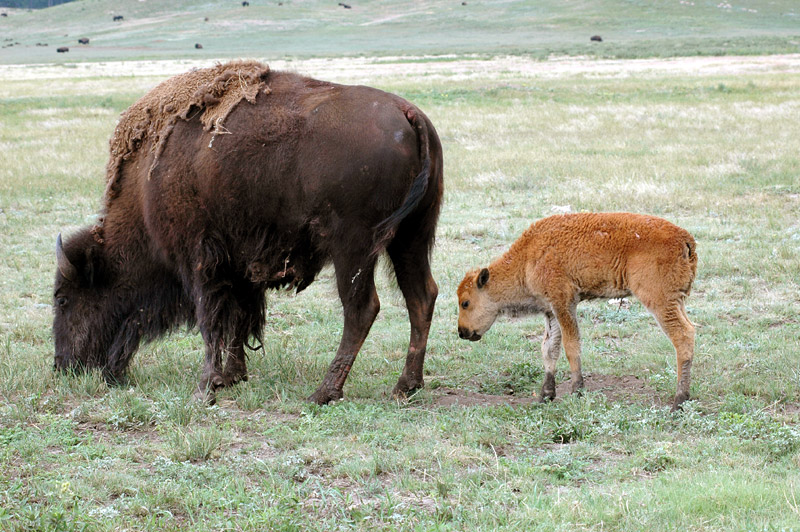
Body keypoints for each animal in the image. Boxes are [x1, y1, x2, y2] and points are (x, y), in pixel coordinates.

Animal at [54, 60, 444, 406]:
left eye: (63, 299)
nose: (63, 366)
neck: (146, 183)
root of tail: (409, 113)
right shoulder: (240, 264)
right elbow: (240, 318)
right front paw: (231, 376)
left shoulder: (199, 262)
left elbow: (212, 321)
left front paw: (205, 388)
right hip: (411, 238)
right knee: (421, 296)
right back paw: (405, 387)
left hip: (354, 248)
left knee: (361, 309)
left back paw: (323, 392)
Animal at [460, 212, 696, 412]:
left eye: (465, 302)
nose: (462, 332)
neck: (528, 256)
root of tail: (685, 239)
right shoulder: (551, 310)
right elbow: (549, 348)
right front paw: (545, 395)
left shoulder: (564, 303)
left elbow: (571, 345)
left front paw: (577, 391)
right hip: (677, 301)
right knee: (690, 330)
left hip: (659, 301)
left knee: (682, 336)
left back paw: (678, 402)